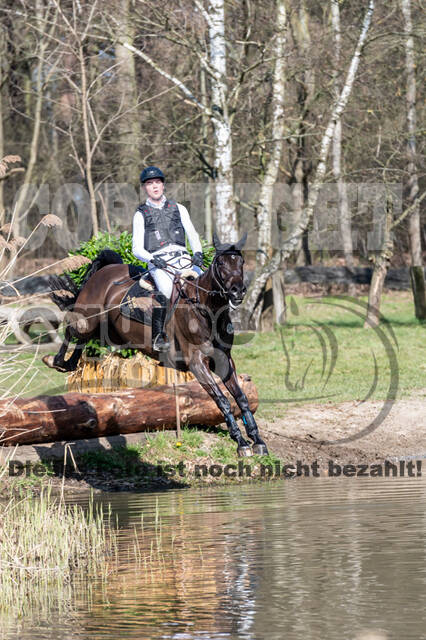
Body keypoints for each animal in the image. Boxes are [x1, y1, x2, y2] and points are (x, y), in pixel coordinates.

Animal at [44, 232, 270, 458]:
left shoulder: (224, 360)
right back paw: (56, 361)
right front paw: (241, 442)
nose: (238, 291)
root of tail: (106, 270)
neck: (207, 311)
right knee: (72, 329)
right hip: (87, 319)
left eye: (241, 262)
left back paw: (69, 363)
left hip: (109, 332)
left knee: (84, 339)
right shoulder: (197, 363)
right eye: (221, 263)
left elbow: (241, 397)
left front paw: (257, 440)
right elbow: (222, 400)